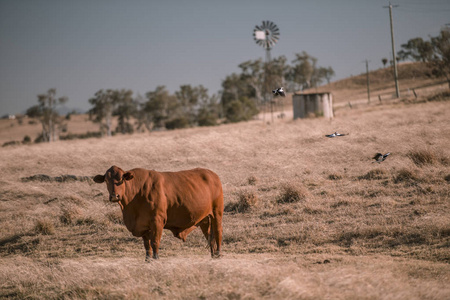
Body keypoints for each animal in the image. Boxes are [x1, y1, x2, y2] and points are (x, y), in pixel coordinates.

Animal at [93, 165, 223, 262]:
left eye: (121, 179)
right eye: (106, 180)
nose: (114, 196)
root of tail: (213, 174)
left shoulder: (157, 221)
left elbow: (155, 242)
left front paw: (156, 259)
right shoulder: (143, 225)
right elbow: (147, 245)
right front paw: (148, 260)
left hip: (217, 213)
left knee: (217, 234)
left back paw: (219, 254)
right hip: (204, 219)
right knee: (210, 238)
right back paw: (213, 256)